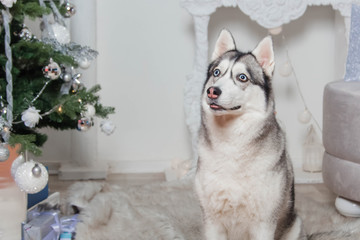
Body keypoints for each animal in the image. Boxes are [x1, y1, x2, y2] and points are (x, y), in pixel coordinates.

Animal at [194, 30, 304, 240]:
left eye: (242, 77)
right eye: (216, 73)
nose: (212, 91)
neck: (231, 142)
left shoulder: (264, 224)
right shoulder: (212, 221)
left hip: (295, 225)